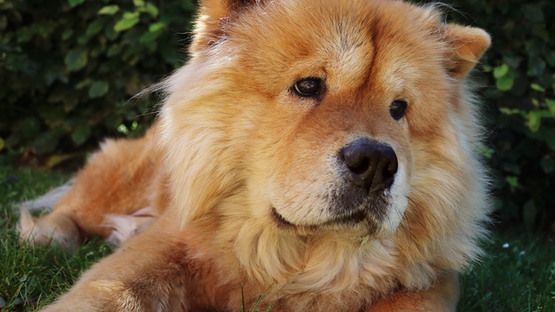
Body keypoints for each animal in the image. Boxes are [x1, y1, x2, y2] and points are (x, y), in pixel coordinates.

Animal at [19, 0, 494, 310]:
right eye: (308, 86)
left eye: (399, 109)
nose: (377, 162)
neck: (294, 260)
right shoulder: (164, 245)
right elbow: (110, 290)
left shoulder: (432, 283)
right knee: (73, 206)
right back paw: (48, 236)